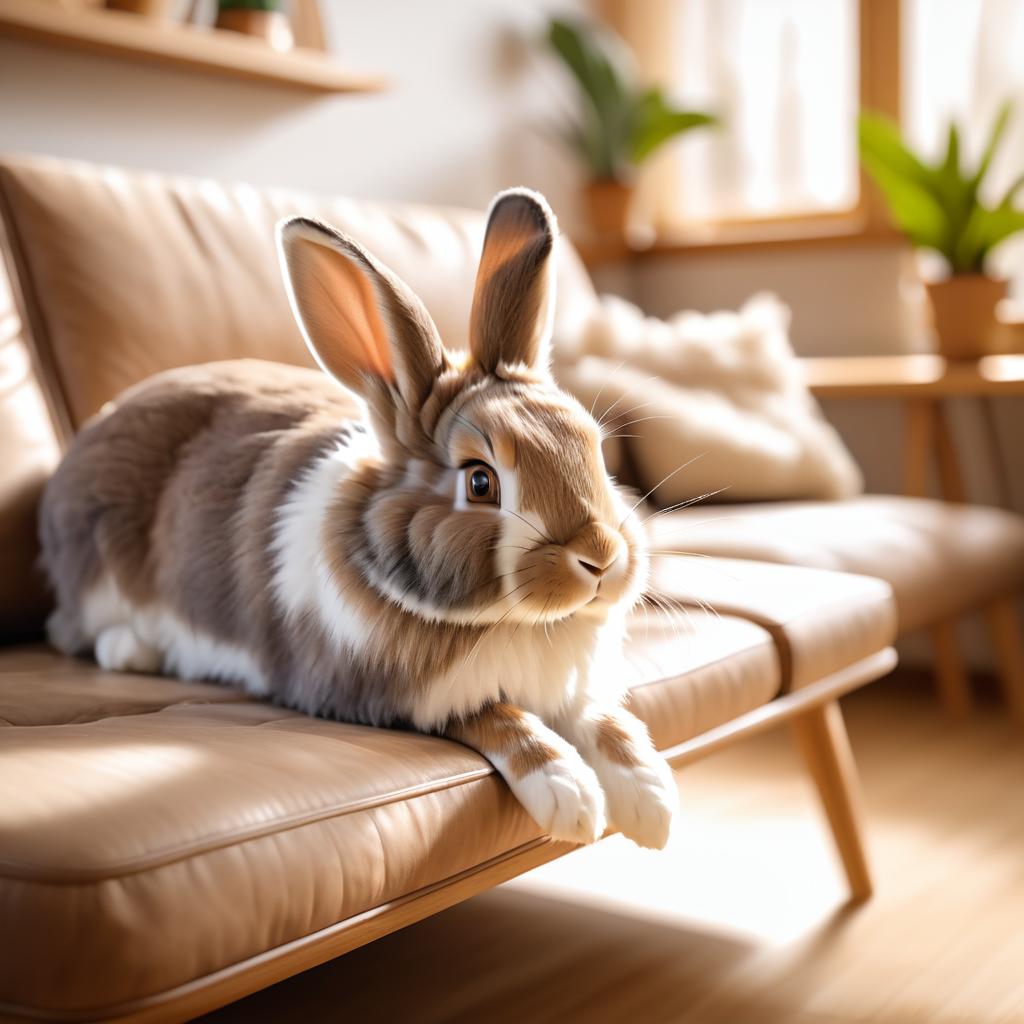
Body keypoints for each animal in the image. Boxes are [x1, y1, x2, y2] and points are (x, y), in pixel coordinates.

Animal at [39, 188, 675, 843]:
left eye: (595, 447)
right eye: (480, 481)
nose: (601, 557)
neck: (514, 623)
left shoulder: (577, 693)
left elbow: (606, 721)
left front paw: (650, 799)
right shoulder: (385, 697)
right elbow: (496, 716)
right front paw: (569, 793)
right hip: (99, 574)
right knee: (70, 629)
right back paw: (131, 650)